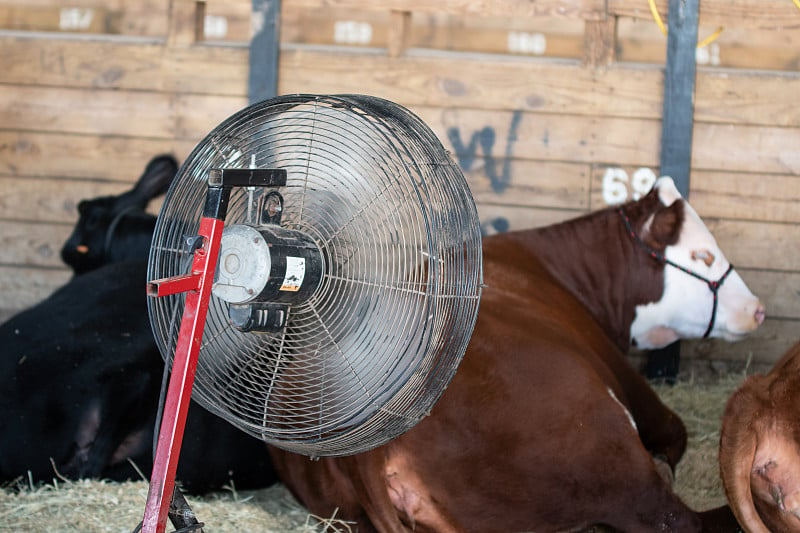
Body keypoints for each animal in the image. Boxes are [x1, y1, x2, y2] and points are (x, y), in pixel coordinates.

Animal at [268, 177, 764, 528]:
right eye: (702, 256)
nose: (757, 310)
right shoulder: (632, 383)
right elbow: (675, 432)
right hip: (599, 435)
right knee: (677, 518)